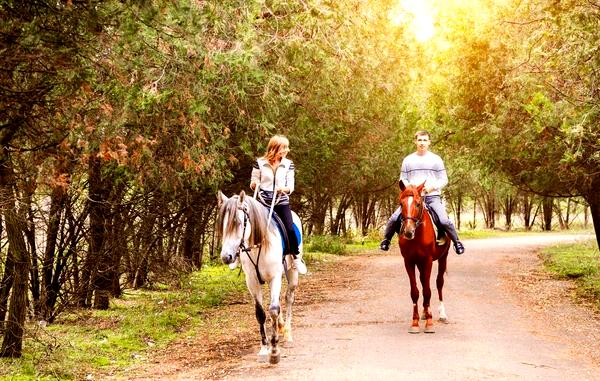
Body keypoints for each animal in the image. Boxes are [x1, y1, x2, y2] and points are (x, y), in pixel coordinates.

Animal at [216, 191, 300, 364]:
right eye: (222, 224)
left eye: (238, 223)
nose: (226, 257)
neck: (258, 246)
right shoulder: (252, 282)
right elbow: (261, 313)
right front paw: (263, 350)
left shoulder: (275, 277)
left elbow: (273, 310)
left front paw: (274, 351)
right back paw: (281, 326)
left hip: (292, 274)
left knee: (288, 298)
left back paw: (288, 335)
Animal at [398, 180, 450, 332]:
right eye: (401, 204)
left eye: (417, 203)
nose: (408, 231)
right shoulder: (409, 261)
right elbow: (415, 291)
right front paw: (415, 323)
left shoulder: (428, 261)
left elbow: (427, 291)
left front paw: (429, 323)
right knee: (422, 282)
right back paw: (424, 312)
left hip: (443, 258)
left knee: (439, 283)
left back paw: (442, 314)